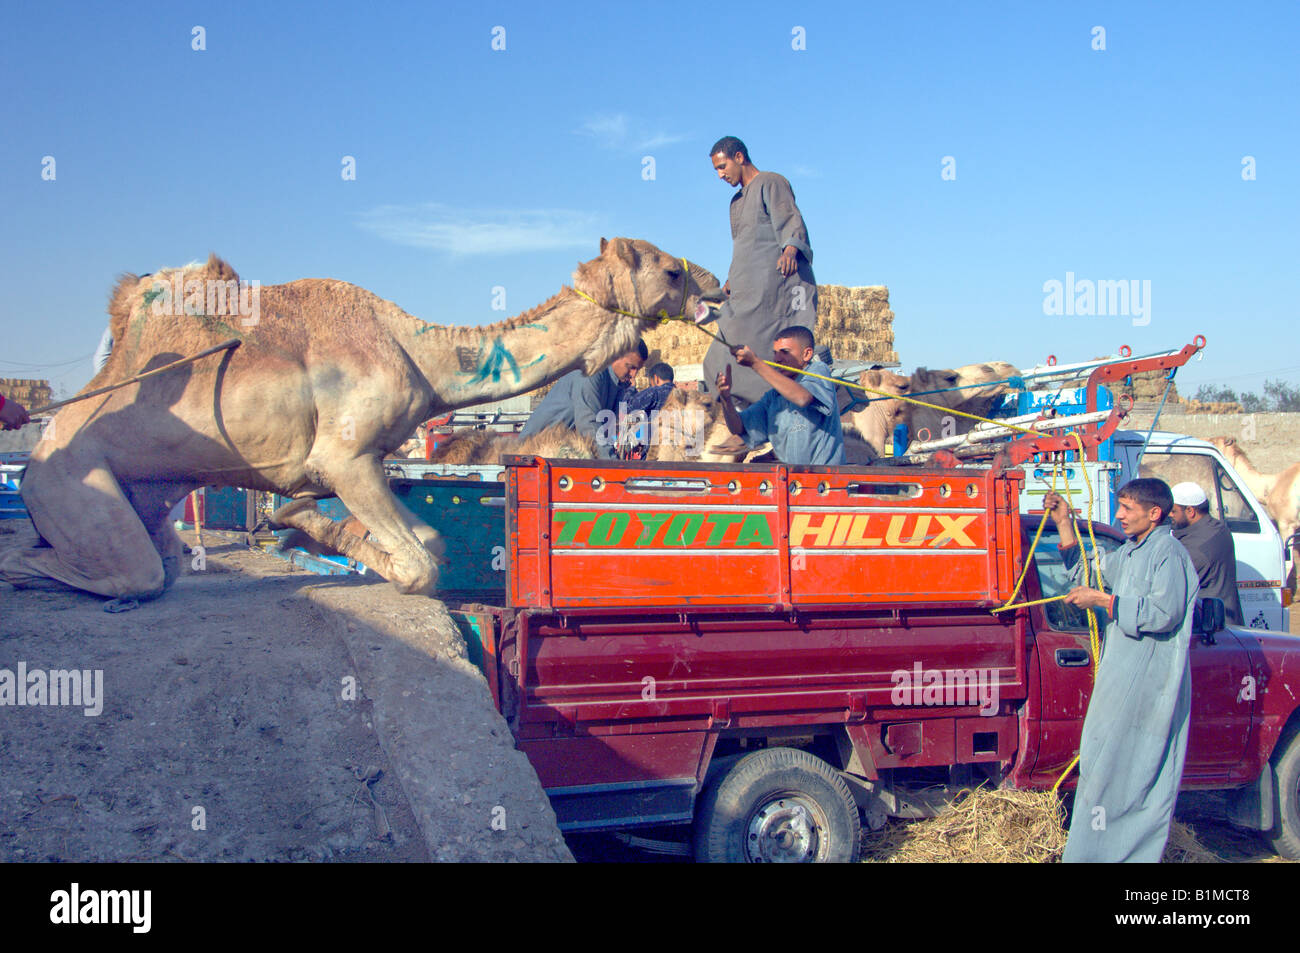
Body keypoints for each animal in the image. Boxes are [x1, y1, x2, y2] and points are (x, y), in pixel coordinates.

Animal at [1, 238, 721, 601]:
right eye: (670, 269)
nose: (716, 285)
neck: (422, 355)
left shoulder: (369, 463)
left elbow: (429, 547)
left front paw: (303, 525)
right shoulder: (344, 459)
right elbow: (423, 566)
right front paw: (308, 526)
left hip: (145, 497)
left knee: (162, 558)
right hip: (65, 479)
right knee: (138, 574)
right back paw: (26, 568)